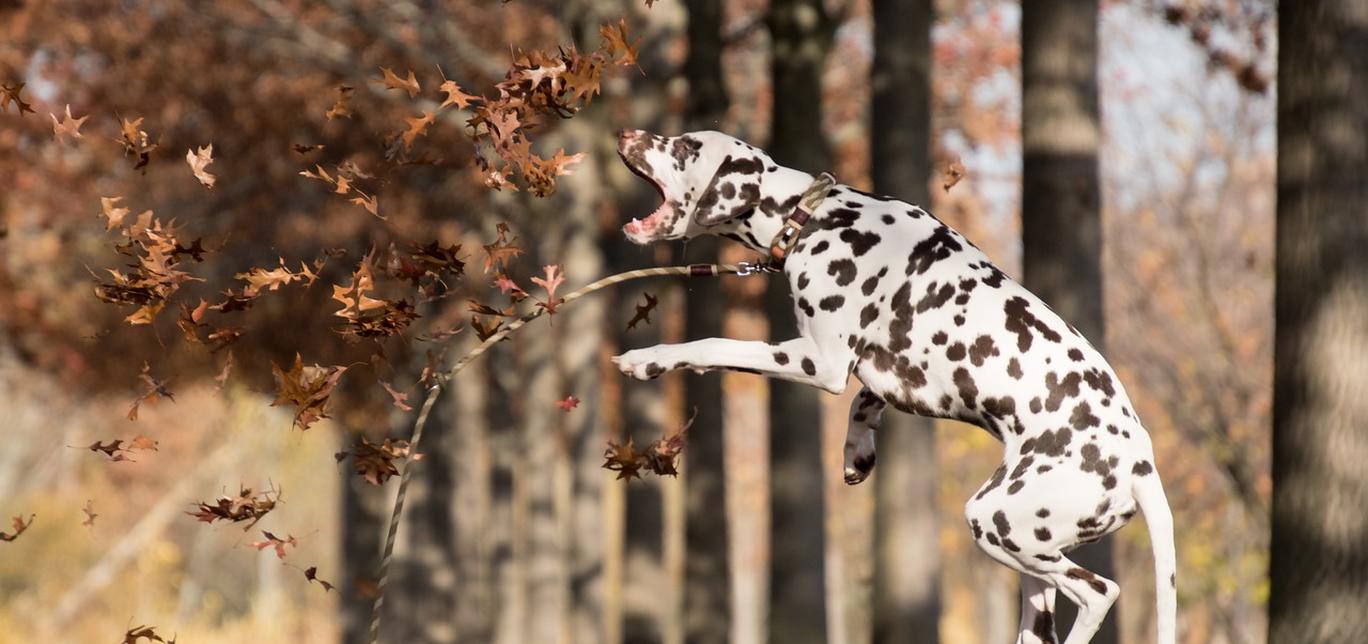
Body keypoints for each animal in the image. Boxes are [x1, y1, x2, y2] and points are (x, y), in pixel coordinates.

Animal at [610, 129, 1176, 644]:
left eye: (686, 146)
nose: (626, 132)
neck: (815, 216)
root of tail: (1141, 466)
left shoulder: (818, 361)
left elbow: (713, 346)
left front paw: (649, 360)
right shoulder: (889, 371)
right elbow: (866, 400)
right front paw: (857, 451)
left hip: (996, 522)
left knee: (1100, 592)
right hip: (1029, 563)